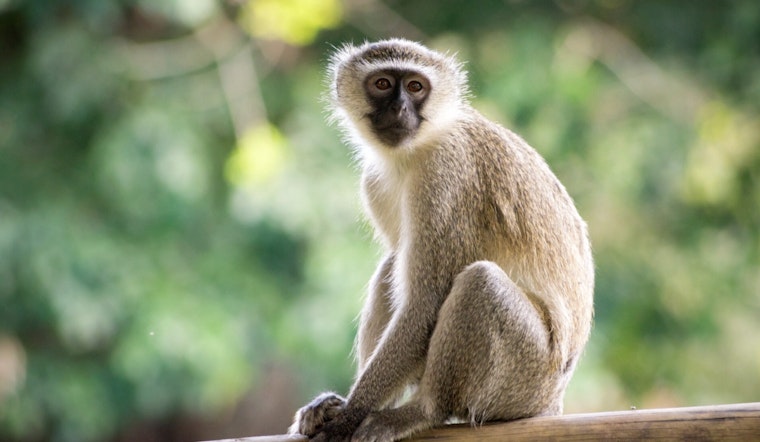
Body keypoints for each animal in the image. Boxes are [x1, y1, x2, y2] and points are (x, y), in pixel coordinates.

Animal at [289, 38, 594, 442]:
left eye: (416, 87)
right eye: (383, 84)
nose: (400, 107)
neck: (415, 149)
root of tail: (552, 402)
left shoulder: (445, 176)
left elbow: (427, 302)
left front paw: (349, 417)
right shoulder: (373, 182)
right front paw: (338, 408)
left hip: (525, 378)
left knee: (479, 283)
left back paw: (421, 411)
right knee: (394, 264)